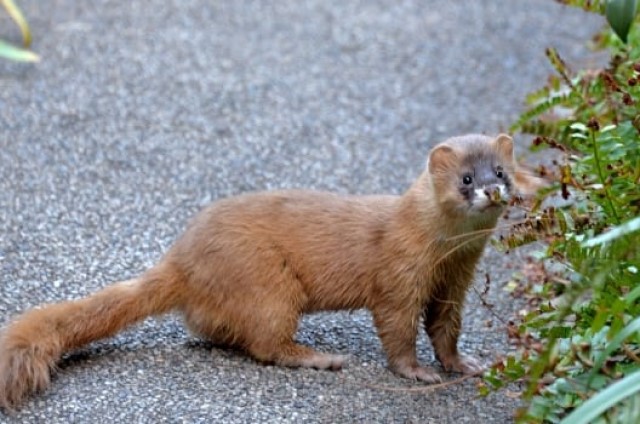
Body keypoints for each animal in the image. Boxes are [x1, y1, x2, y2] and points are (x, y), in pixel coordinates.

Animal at [0, 134, 544, 410]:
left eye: (501, 171)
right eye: (466, 178)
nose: (492, 189)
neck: (444, 255)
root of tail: (180, 255)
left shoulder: (456, 281)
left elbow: (446, 329)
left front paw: (464, 364)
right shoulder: (399, 276)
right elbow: (397, 330)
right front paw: (418, 373)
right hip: (268, 281)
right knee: (266, 342)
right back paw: (320, 357)